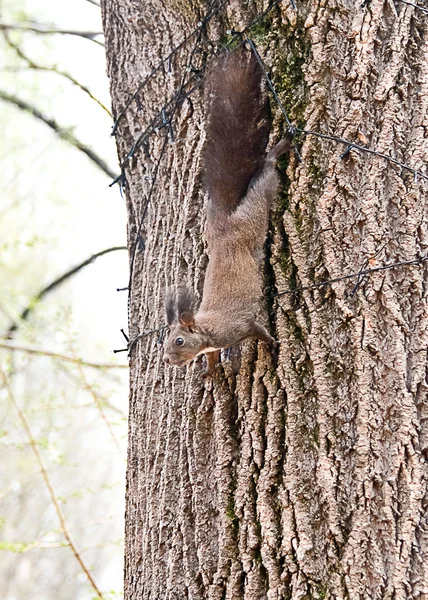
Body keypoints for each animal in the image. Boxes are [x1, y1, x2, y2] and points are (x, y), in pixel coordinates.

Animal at [162, 48, 292, 376]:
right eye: (165, 342)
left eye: (179, 341)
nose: (167, 360)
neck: (207, 332)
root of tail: (223, 228)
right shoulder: (214, 346)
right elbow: (211, 357)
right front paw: (209, 371)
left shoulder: (240, 326)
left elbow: (259, 331)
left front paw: (273, 345)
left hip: (254, 217)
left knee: (264, 178)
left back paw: (278, 150)